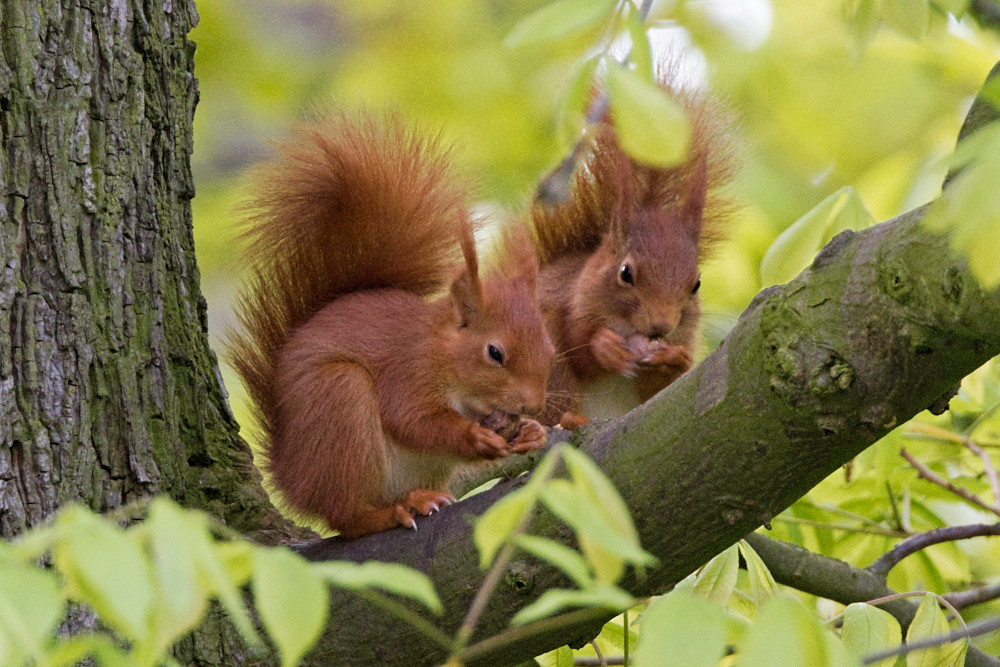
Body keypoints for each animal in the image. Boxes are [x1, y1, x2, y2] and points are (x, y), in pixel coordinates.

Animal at [229, 111, 556, 536]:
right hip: (339, 401)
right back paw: (390, 513)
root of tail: (292, 478)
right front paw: (475, 436)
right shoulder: (407, 370)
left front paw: (533, 433)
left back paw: (421, 499)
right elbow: (410, 419)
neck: (442, 353)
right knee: (346, 515)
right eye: (495, 353)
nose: (534, 404)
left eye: (550, 349)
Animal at [532, 74, 736, 428]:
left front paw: (674, 360)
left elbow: (664, 388)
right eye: (625, 273)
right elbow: (581, 349)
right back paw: (570, 420)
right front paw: (606, 348)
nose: (661, 326)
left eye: (696, 284)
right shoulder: (571, 305)